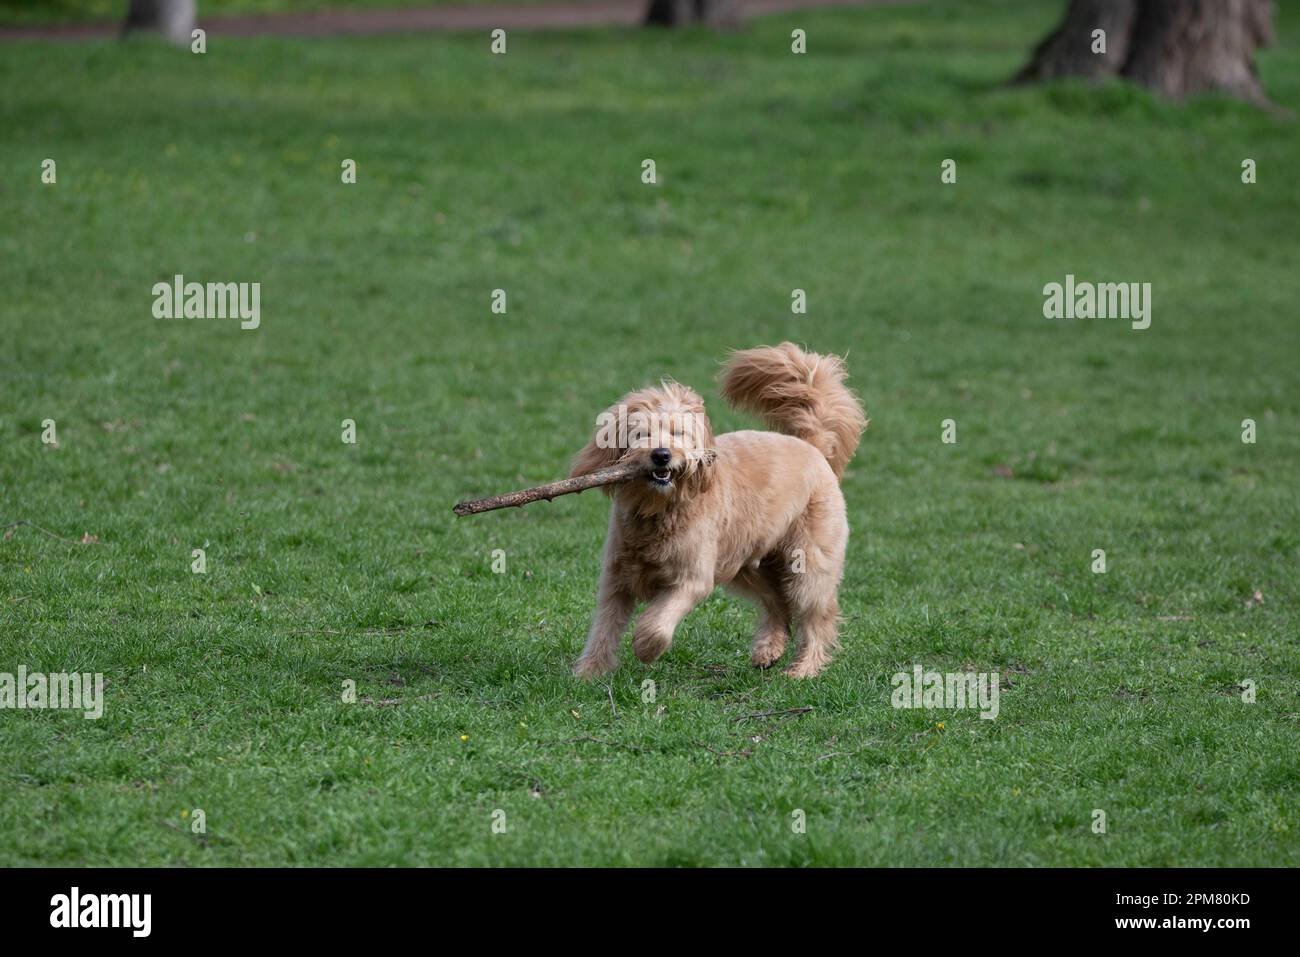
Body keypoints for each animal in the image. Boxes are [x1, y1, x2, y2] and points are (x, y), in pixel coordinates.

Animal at [572, 343, 868, 681]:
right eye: (640, 434)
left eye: (678, 433)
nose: (661, 455)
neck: (661, 510)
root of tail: (811, 445)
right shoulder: (616, 578)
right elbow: (604, 627)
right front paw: (589, 673)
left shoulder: (692, 578)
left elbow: (657, 623)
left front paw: (645, 647)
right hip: (746, 564)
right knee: (777, 602)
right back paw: (769, 650)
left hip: (807, 564)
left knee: (817, 615)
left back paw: (805, 668)